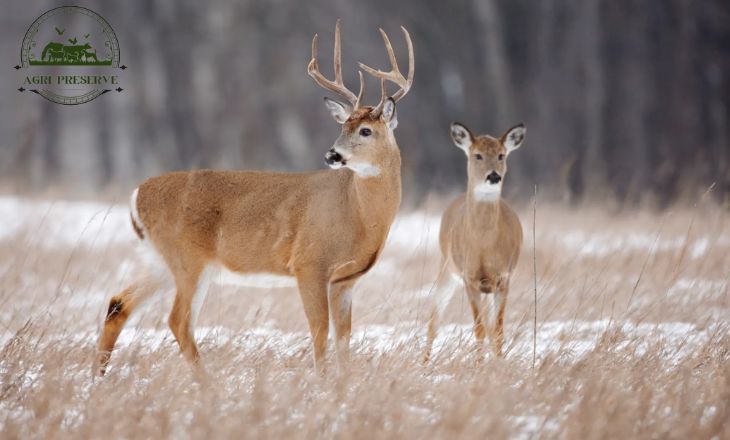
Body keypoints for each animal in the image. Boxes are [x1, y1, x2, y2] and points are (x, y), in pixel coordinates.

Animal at [96, 18, 412, 372]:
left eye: (366, 130)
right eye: (342, 127)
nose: (332, 155)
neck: (358, 215)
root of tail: (137, 195)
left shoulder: (346, 280)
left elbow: (344, 341)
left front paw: (344, 382)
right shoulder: (309, 263)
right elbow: (319, 333)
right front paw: (322, 380)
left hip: (159, 260)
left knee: (119, 303)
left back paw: (99, 377)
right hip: (188, 258)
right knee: (178, 320)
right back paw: (207, 382)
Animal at [424, 121, 528, 360]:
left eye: (501, 155)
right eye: (477, 155)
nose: (494, 176)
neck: (483, 245)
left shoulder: (503, 277)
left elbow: (497, 331)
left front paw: (497, 364)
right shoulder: (469, 277)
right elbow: (479, 329)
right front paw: (479, 364)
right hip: (446, 269)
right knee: (433, 323)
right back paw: (423, 363)